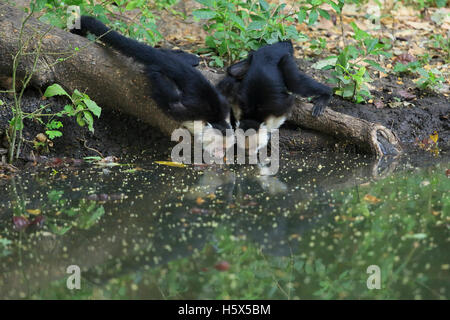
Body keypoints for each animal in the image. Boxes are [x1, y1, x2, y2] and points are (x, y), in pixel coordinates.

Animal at [71, 16, 232, 155]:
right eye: (219, 147)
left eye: (225, 149)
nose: (221, 155)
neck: (215, 119)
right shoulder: (192, 112)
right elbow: (175, 105)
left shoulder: (225, 106)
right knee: (160, 78)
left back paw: (184, 56)